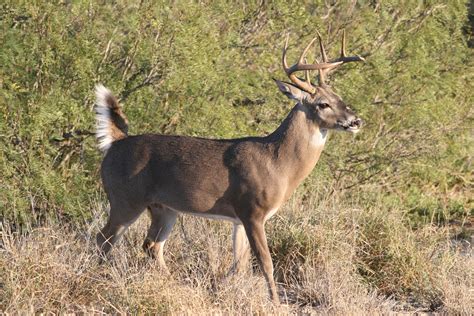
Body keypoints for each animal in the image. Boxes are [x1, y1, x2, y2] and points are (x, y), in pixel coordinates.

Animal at [94, 30, 364, 304]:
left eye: (340, 98)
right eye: (322, 104)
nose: (355, 121)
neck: (278, 164)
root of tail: (116, 142)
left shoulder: (239, 219)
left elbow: (240, 263)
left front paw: (223, 289)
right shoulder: (252, 210)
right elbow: (265, 262)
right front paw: (276, 303)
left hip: (164, 208)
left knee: (151, 245)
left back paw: (173, 285)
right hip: (125, 198)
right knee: (104, 237)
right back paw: (100, 277)